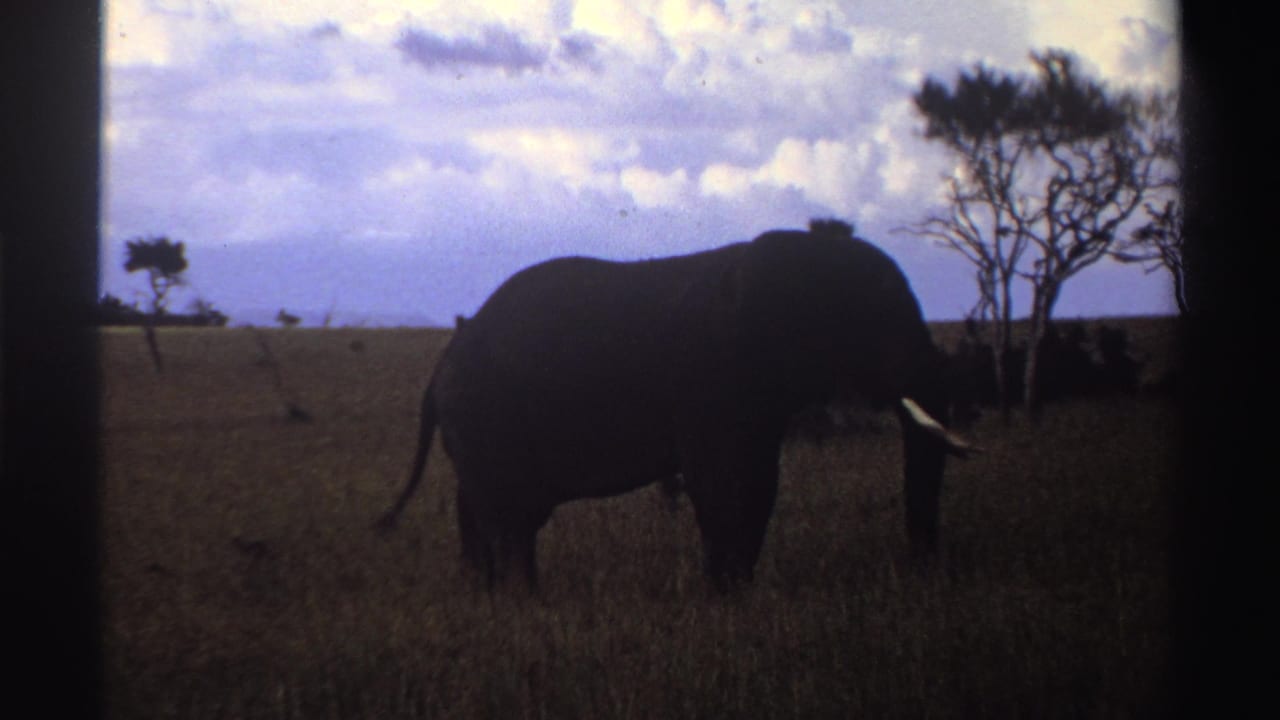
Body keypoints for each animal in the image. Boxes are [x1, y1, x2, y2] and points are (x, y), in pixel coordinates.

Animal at [376, 220, 973, 591]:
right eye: (874, 319)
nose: (925, 572)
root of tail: (440, 367)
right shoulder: (716, 379)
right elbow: (727, 482)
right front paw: (728, 595)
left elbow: (758, 483)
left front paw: (737, 591)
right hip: (488, 420)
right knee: (511, 518)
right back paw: (525, 602)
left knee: (484, 510)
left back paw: (488, 597)